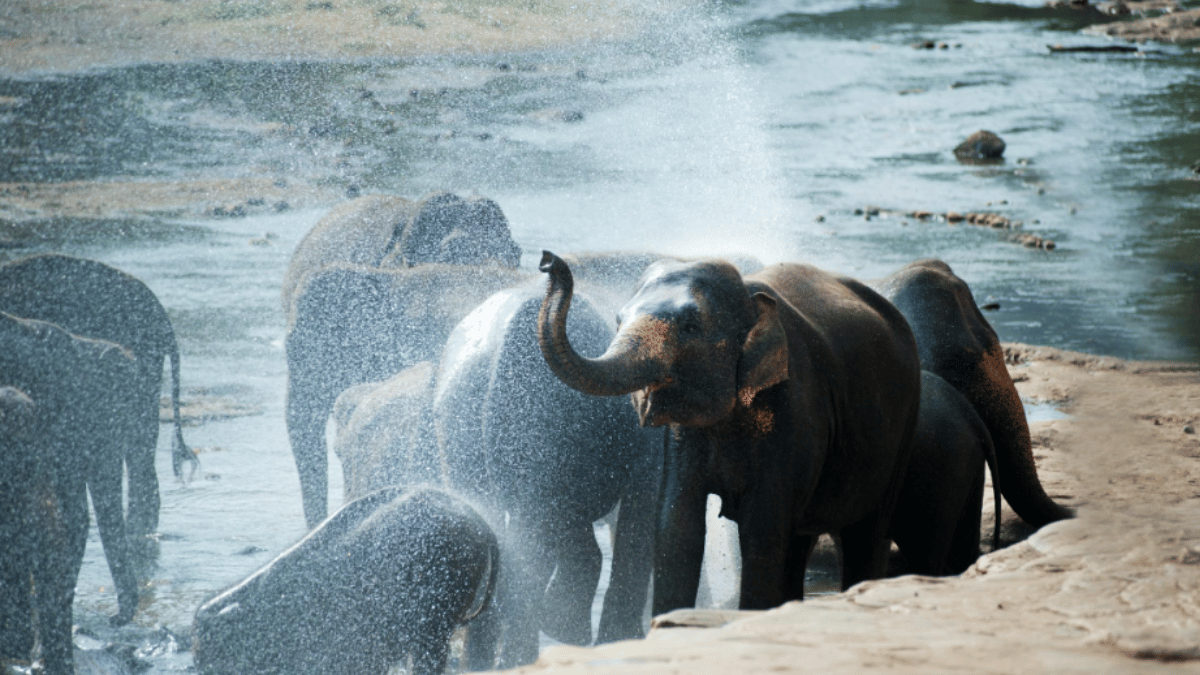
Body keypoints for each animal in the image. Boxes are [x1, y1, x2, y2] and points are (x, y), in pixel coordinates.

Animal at [537, 251, 923, 614]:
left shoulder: (794, 410)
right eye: (617, 320)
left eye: (690, 327)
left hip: (905, 425)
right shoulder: (683, 437)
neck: (749, 294)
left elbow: (761, 530)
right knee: (800, 541)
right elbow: (677, 526)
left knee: (866, 533)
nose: (547, 260)